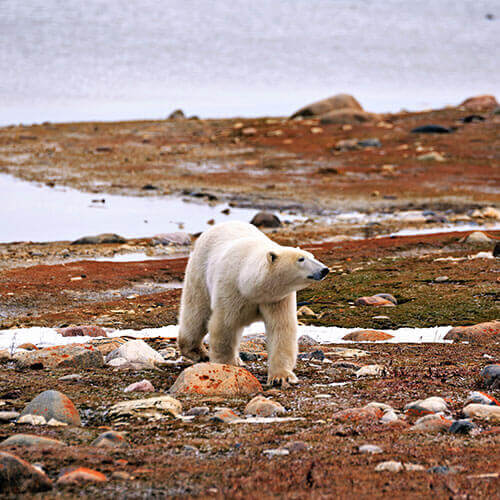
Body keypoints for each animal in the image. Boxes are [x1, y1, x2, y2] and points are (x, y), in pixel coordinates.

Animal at [178, 220, 330, 386]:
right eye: (301, 259)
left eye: (312, 256)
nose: (324, 269)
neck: (249, 285)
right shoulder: (230, 289)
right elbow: (225, 325)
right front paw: (226, 365)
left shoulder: (277, 299)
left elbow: (281, 329)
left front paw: (280, 377)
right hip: (200, 271)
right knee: (197, 313)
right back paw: (198, 352)